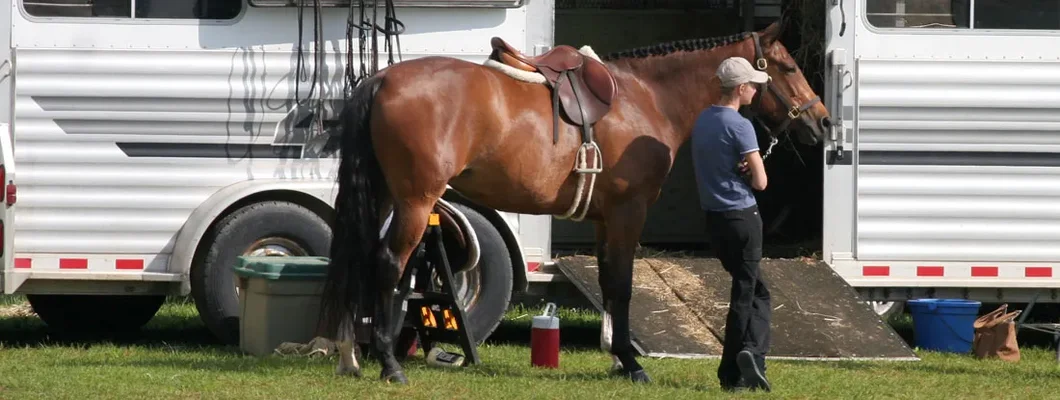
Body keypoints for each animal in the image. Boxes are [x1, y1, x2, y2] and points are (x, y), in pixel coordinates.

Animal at [316, 18, 831, 385]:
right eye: (788, 66)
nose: (823, 122)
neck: (646, 97)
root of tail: (381, 79)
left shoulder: (605, 219)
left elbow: (608, 284)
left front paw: (619, 358)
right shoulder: (628, 212)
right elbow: (622, 285)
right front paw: (631, 363)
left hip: (388, 197)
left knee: (362, 259)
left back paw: (350, 356)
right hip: (417, 200)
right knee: (388, 264)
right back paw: (388, 363)